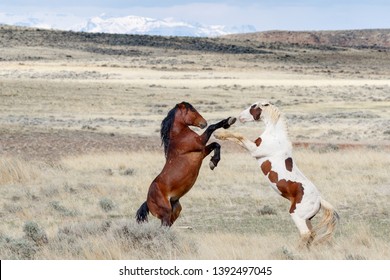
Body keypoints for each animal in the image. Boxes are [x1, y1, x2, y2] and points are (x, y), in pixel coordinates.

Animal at [215, 100, 340, 247]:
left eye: (254, 106)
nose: (239, 117)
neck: (275, 135)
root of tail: (319, 200)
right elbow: (236, 138)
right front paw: (219, 134)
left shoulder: (255, 150)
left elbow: (240, 136)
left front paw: (219, 133)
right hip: (307, 219)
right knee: (311, 235)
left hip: (297, 215)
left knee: (306, 234)